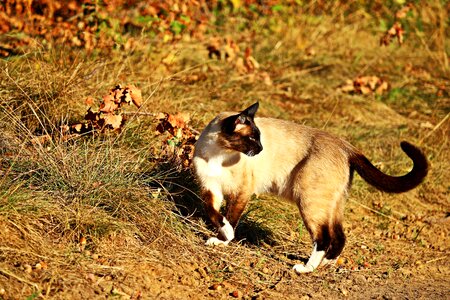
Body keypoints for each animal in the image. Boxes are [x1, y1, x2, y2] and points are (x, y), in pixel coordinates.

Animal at [192, 102, 428, 274]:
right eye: (252, 138)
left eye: (258, 138)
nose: (260, 149)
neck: (219, 154)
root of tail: (346, 145)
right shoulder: (210, 190)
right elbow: (214, 214)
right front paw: (218, 238)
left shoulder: (241, 192)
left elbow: (230, 219)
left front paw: (225, 239)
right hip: (332, 205)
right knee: (339, 237)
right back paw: (326, 264)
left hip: (309, 203)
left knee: (324, 238)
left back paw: (306, 268)